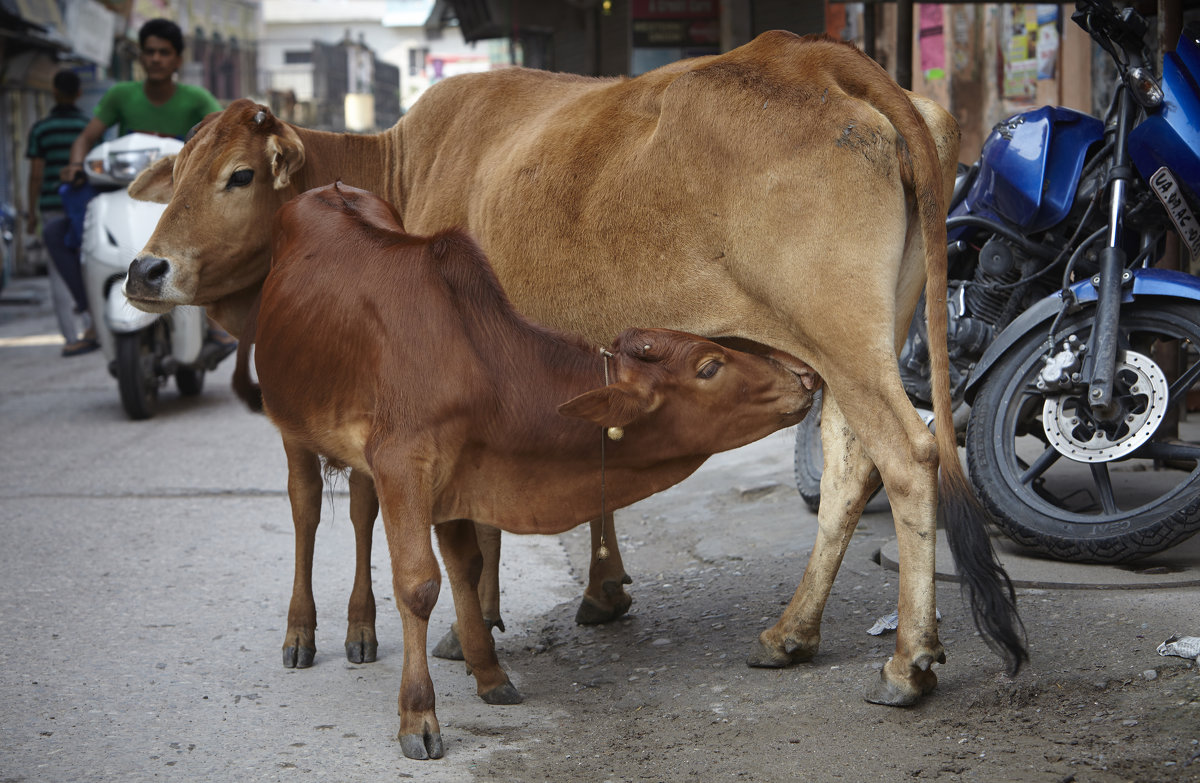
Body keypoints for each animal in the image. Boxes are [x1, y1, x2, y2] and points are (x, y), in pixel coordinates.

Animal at [129, 32, 1022, 710]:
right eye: (177, 174)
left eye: (240, 175)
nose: (145, 269)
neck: (399, 170)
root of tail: (817, 56)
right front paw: (602, 592)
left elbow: (475, 521)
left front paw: (475, 628)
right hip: (854, 342)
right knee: (848, 468)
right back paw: (791, 633)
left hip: (839, 334)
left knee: (909, 457)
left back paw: (907, 663)